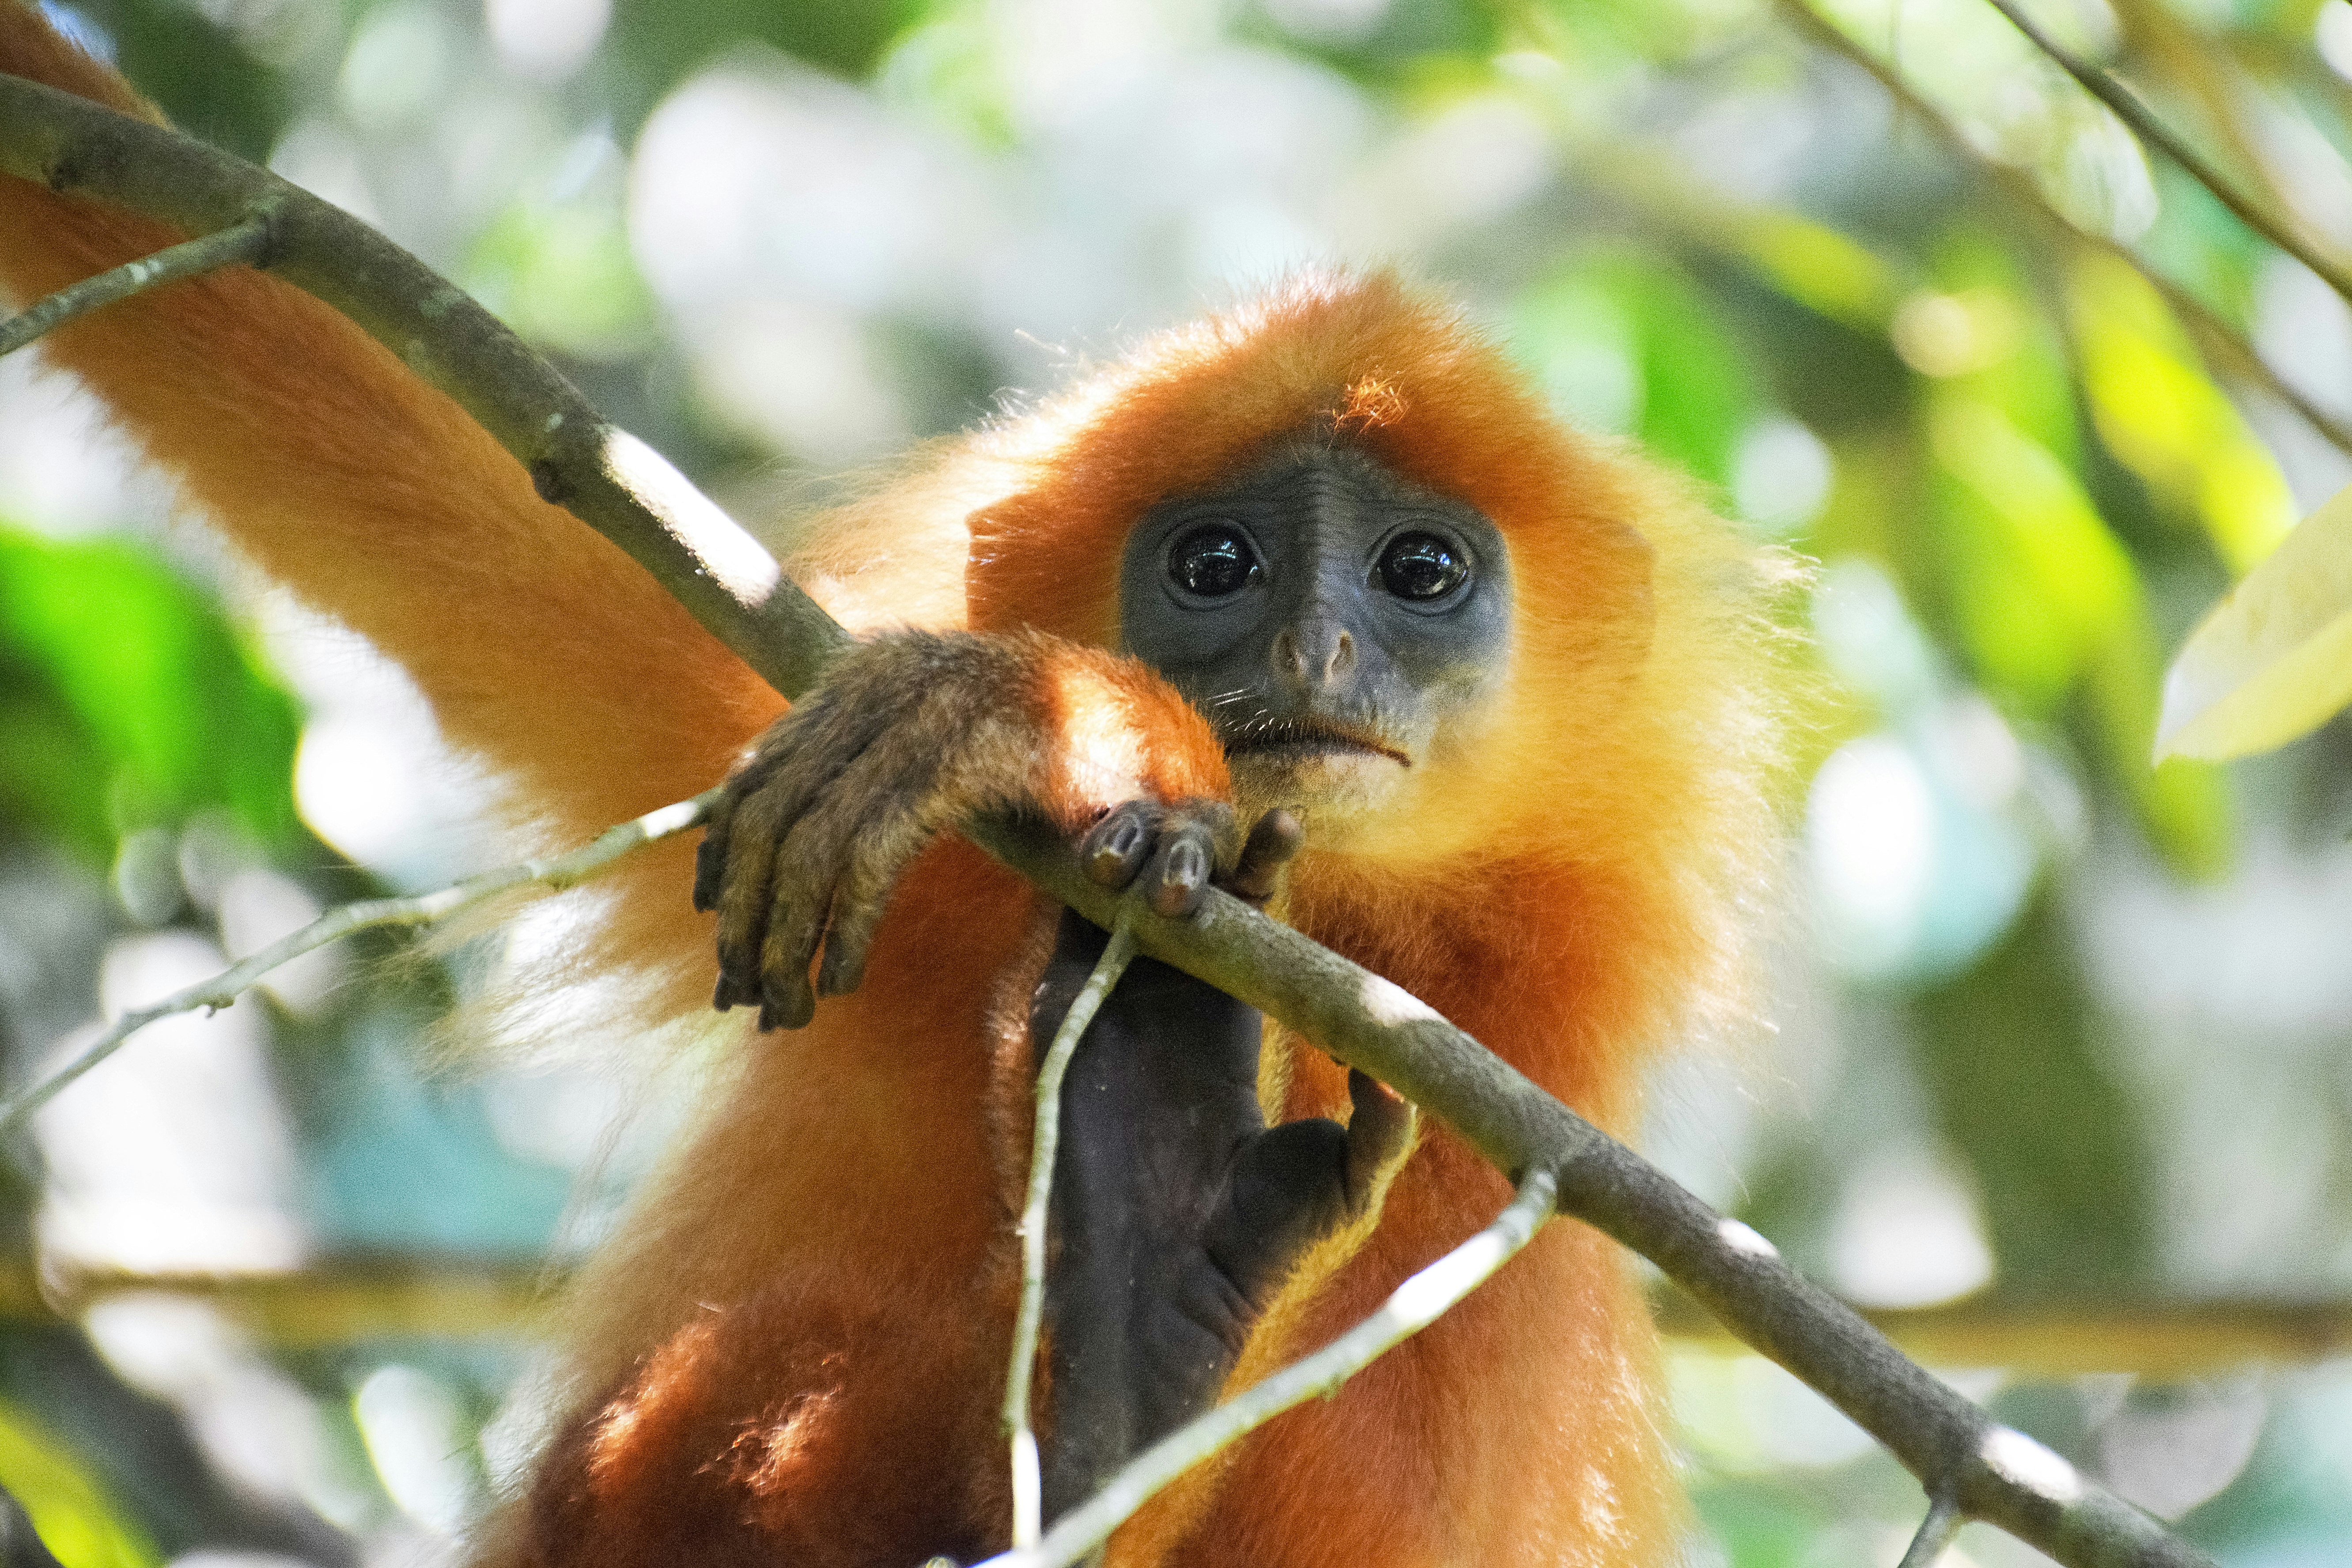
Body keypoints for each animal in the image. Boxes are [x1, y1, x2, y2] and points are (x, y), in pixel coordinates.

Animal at [0, 6, 1787, 1561]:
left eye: (1422, 571)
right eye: (1217, 563)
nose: (1315, 646)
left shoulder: (1508, 1048)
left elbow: (1374, 1498)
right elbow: (442, 499)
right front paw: (1082, 728)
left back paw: (1139, 1292)